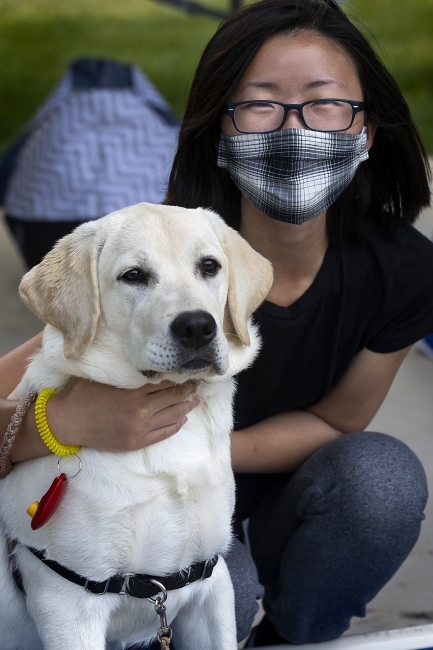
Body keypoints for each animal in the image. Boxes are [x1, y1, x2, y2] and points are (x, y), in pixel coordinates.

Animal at [0, 204, 272, 648]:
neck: (167, 448)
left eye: (209, 266)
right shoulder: (68, 608)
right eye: (134, 275)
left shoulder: (210, 584)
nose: (197, 326)